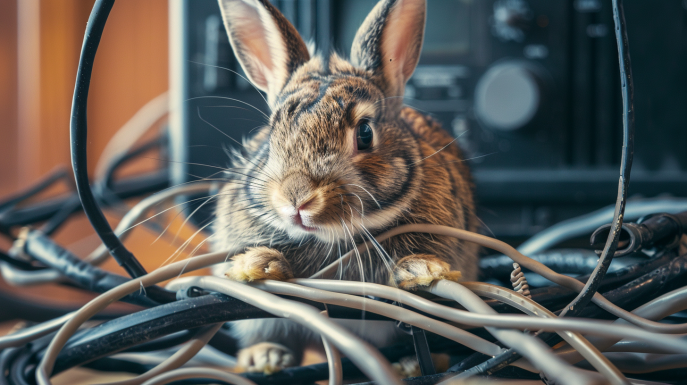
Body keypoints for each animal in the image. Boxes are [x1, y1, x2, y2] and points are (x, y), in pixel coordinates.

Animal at [214, 0, 478, 376]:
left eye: (365, 133)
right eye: (272, 132)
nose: (297, 199)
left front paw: (420, 270)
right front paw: (258, 264)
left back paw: (411, 363)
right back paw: (265, 357)